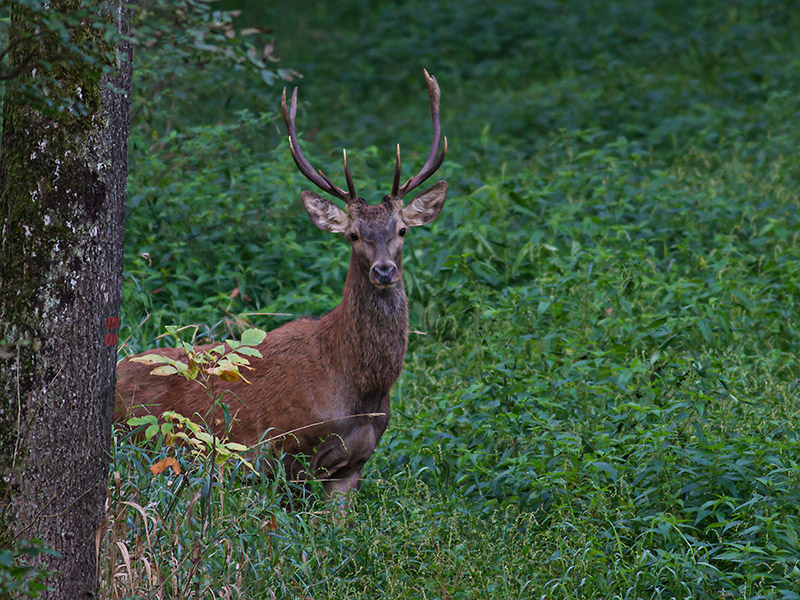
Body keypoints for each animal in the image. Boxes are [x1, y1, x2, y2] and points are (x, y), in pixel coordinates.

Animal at [115, 70, 446, 500]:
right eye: (354, 235)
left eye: (402, 230)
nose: (384, 270)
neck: (359, 391)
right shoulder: (285, 451)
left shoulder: (354, 465)